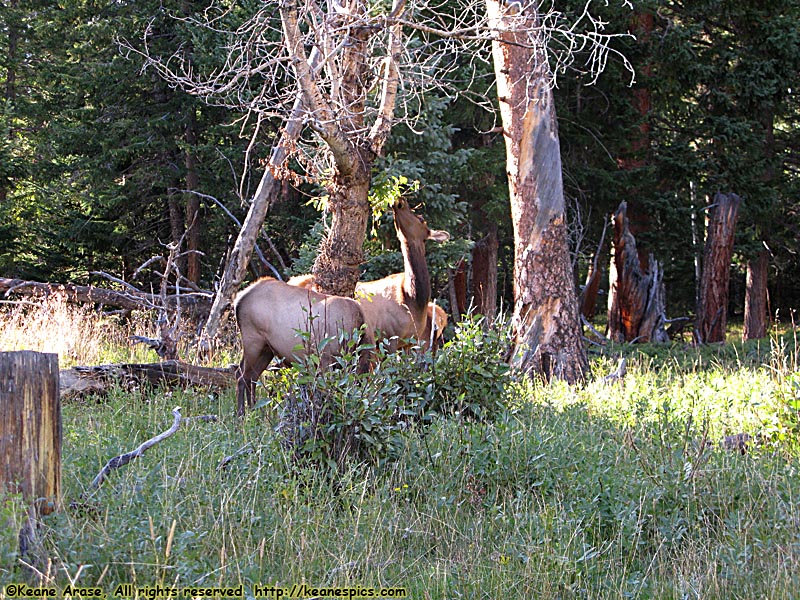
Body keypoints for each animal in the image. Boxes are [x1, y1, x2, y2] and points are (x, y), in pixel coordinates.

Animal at [234, 276, 376, 418]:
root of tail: (238, 300)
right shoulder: (325, 359)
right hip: (253, 340)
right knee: (242, 376)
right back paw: (241, 415)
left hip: (266, 348)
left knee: (249, 376)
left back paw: (254, 411)